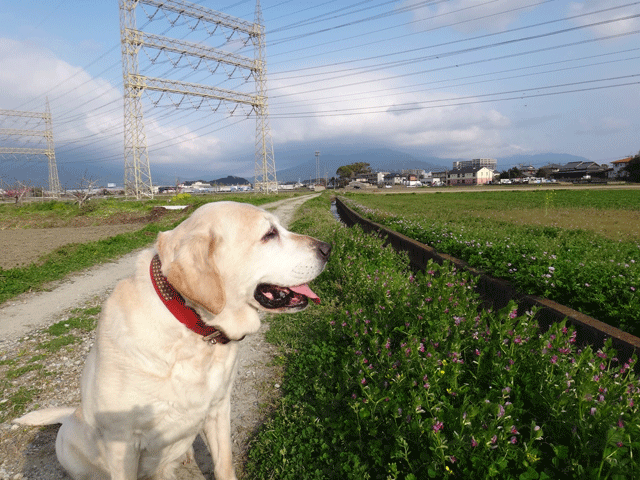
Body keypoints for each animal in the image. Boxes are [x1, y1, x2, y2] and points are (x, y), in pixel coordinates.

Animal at [15, 201, 330, 478]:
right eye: (269, 234)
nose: (328, 248)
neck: (192, 327)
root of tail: (70, 414)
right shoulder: (121, 444)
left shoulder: (219, 409)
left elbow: (224, 465)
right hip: (71, 449)